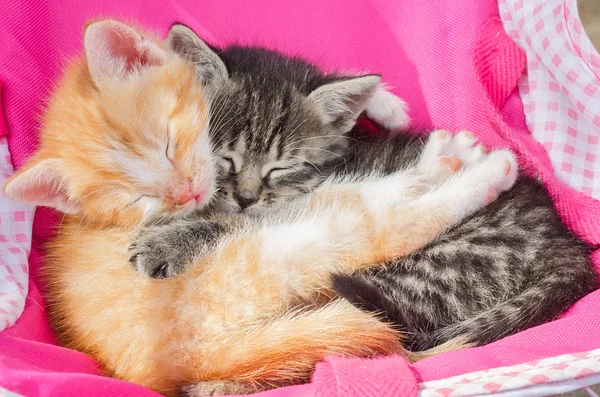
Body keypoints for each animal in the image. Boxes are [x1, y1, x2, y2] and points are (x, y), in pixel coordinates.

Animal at [2, 20, 516, 394]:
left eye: (173, 144)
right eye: (225, 157)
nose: (245, 196)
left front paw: (384, 104)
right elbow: (224, 220)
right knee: (385, 216)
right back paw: (468, 165)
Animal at [132, 24, 600, 352]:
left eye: (283, 167)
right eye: (224, 158)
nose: (246, 198)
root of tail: (564, 241)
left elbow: (235, 226)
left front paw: (167, 242)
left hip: (424, 268)